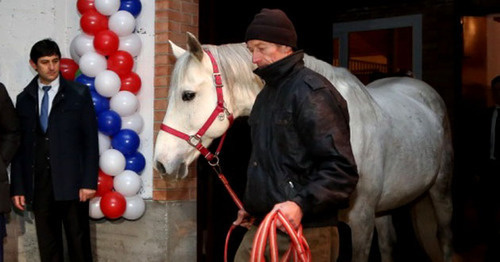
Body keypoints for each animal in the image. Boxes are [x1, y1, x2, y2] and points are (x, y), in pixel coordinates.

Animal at [154, 32, 456, 262]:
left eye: (188, 95)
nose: (160, 163)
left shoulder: (362, 223)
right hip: (384, 208)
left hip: (440, 190)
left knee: (445, 236)